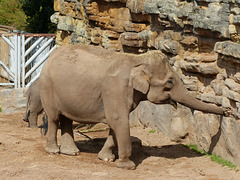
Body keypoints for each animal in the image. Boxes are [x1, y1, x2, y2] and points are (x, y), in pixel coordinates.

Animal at [39, 44, 227, 170]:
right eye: (170, 82)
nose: (226, 111)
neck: (137, 60)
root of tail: (49, 57)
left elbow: (115, 124)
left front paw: (106, 159)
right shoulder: (115, 89)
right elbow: (118, 120)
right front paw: (128, 166)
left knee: (66, 119)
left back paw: (71, 153)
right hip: (47, 88)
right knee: (54, 118)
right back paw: (53, 151)